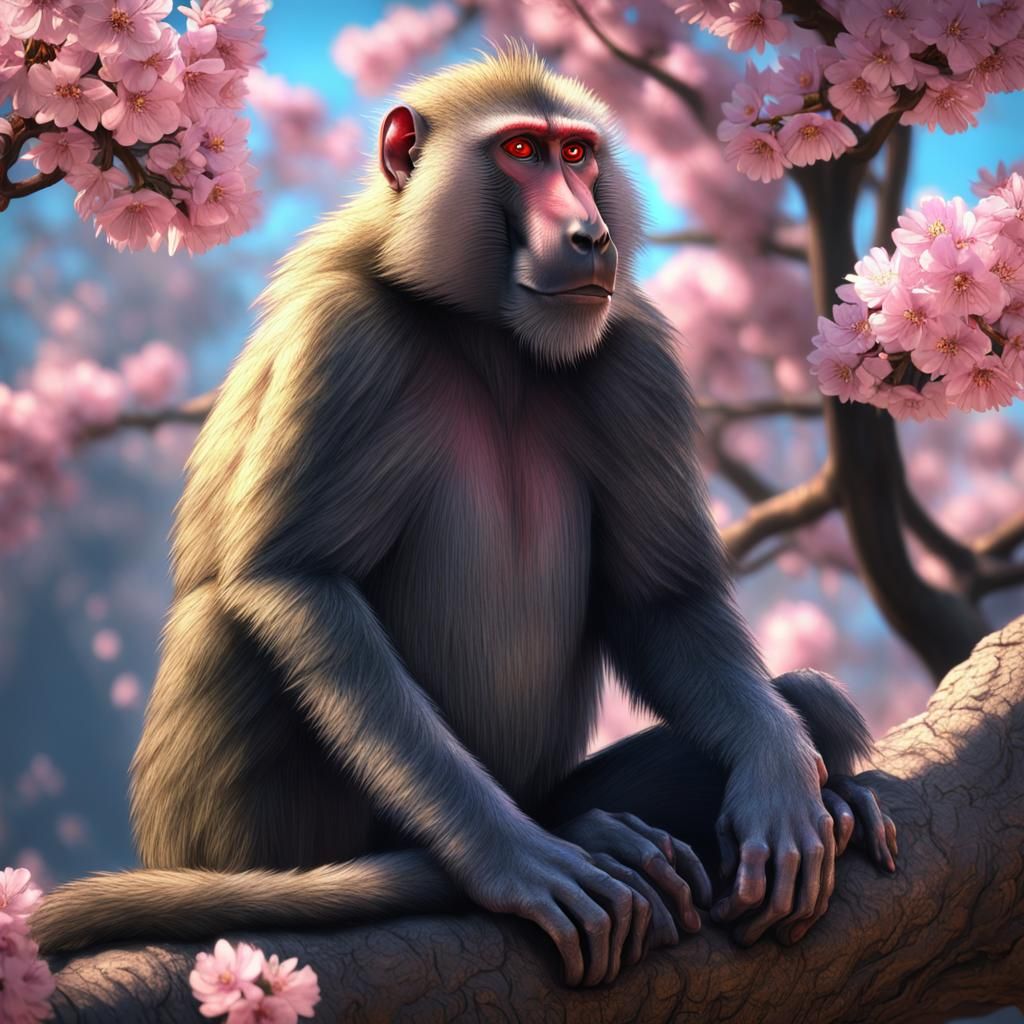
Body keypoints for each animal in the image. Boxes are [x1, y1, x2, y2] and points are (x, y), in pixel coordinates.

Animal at [31, 48, 897, 987]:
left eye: (578, 153)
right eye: (521, 150)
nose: (592, 235)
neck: (492, 338)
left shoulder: (635, 357)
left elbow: (666, 605)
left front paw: (782, 781)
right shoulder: (345, 336)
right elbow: (294, 581)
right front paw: (515, 859)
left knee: (818, 702)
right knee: (234, 625)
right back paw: (571, 838)